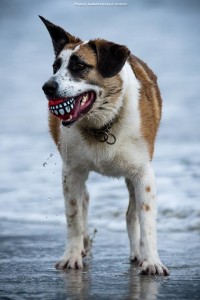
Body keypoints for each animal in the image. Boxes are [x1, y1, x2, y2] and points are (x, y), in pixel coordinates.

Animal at [40, 15, 169, 276]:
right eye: (55, 67)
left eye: (80, 66)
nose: (47, 87)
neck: (101, 126)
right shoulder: (71, 170)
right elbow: (73, 215)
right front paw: (71, 256)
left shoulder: (143, 174)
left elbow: (146, 220)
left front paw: (151, 261)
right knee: (84, 200)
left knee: (131, 215)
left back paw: (138, 254)